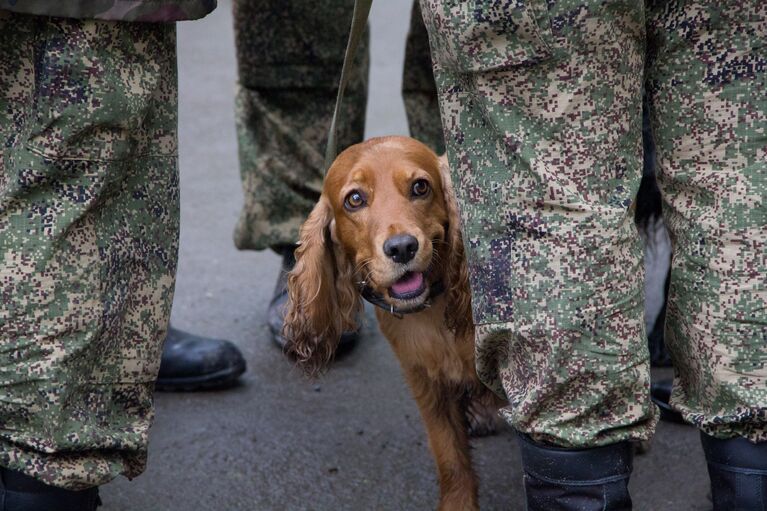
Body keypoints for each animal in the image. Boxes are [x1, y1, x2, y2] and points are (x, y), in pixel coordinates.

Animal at [284, 136, 500, 511]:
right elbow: (451, 461)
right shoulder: (426, 384)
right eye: (355, 199)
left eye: (420, 187)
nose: (402, 248)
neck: (434, 310)